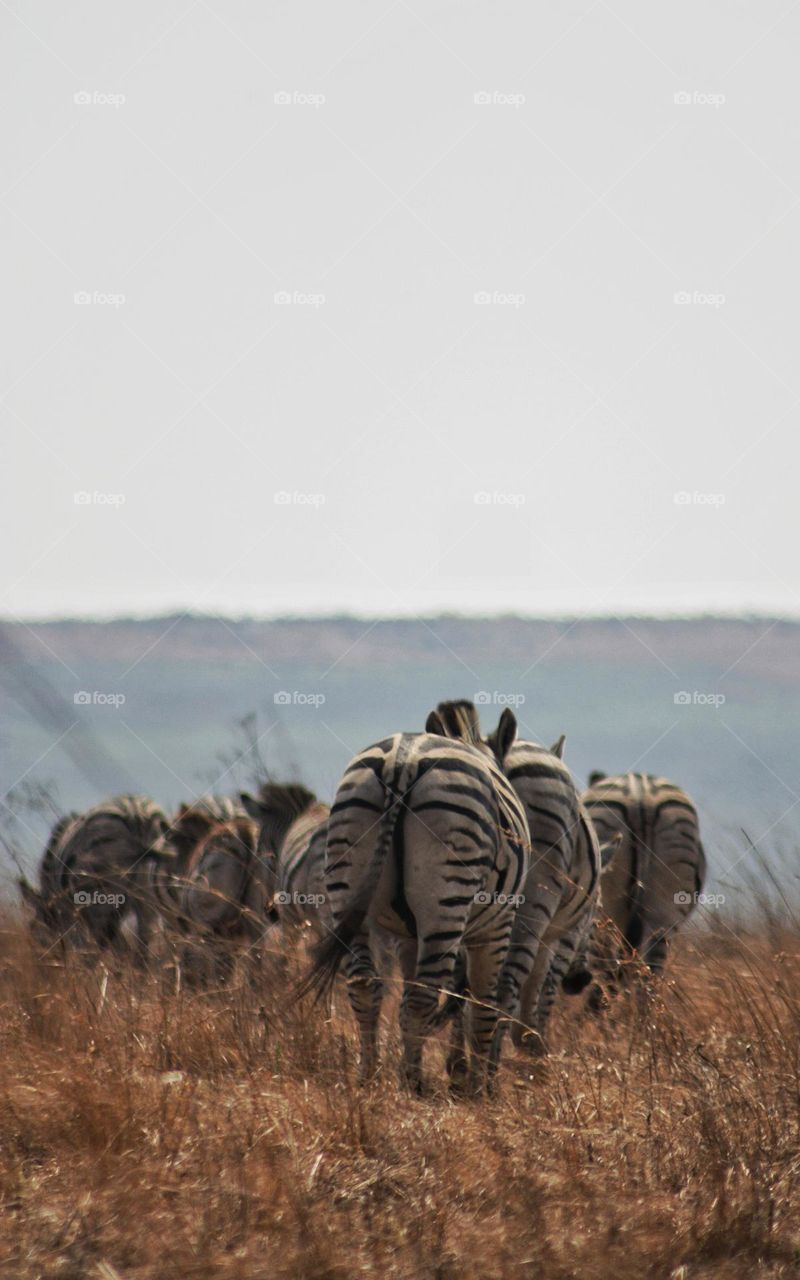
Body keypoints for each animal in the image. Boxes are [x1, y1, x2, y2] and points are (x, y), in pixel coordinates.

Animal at [18, 795, 171, 963]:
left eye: (36, 935)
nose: (42, 963)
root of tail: (135, 812)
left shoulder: (75, 914)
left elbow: (89, 950)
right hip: (151, 900)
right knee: (146, 950)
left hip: (102, 901)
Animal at [299, 719, 532, 1095]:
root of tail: (401, 762)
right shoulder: (498, 926)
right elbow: (484, 1005)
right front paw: (480, 1089)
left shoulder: (407, 937)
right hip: (447, 892)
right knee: (422, 998)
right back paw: (413, 1084)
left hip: (345, 878)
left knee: (366, 985)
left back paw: (370, 1076)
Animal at [426, 701, 620, 1058]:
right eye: (597, 912)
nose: (580, 980)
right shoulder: (561, 936)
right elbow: (540, 995)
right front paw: (534, 1050)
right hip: (534, 903)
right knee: (506, 987)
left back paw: (462, 1062)